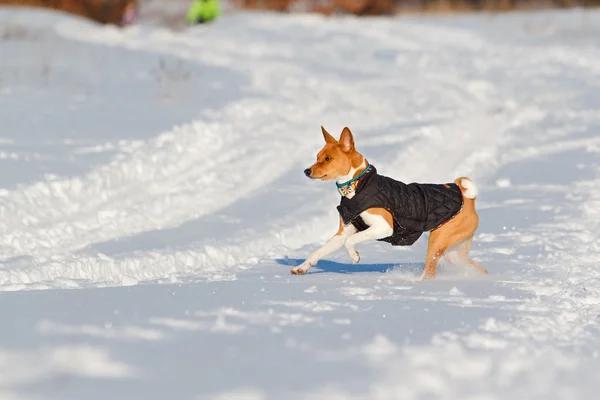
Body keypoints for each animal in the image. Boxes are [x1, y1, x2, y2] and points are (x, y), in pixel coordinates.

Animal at [290, 126, 488, 280]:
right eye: (317, 156)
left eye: (328, 159)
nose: (307, 171)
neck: (357, 185)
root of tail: (467, 197)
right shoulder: (343, 231)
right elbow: (319, 251)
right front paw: (301, 268)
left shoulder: (383, 227)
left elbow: (351, 241)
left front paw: (354, 257)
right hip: (453, 251)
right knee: (477, 269)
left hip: (438, 241)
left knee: (430, 273)